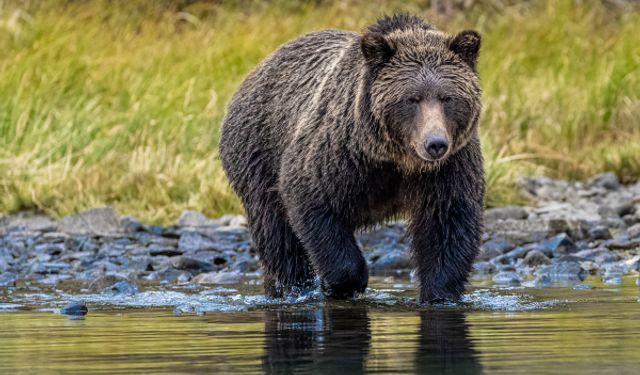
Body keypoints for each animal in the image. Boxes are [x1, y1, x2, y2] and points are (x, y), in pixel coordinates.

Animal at [221, 13, 484, 304]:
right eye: (412, 99)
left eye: (447, 98)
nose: (435, 144)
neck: (396, 159)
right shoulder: (339, 155)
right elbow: (311, 200)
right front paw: (340, 284)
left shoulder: (449, 168)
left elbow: (448, 225)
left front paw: (439, 294)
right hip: (258, 154)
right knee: (278, 236)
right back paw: (294, 288)